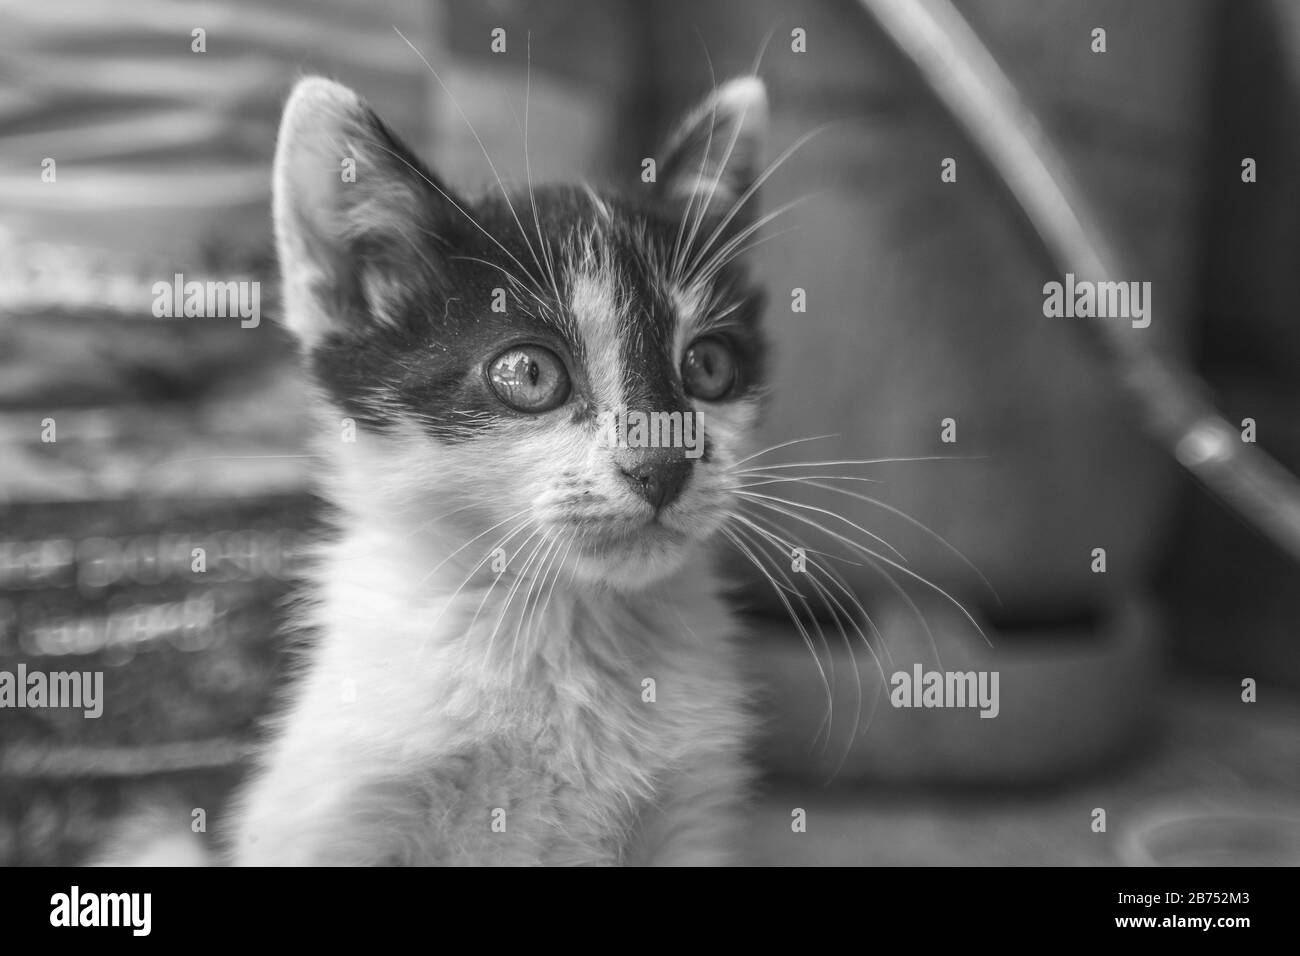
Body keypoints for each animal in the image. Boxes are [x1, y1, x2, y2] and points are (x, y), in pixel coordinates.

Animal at [231, 76, 769, 868]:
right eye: (529, 373)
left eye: (708, 365)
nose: (664, 465)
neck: (562, 624)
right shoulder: (335, 810)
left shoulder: (692, 813)